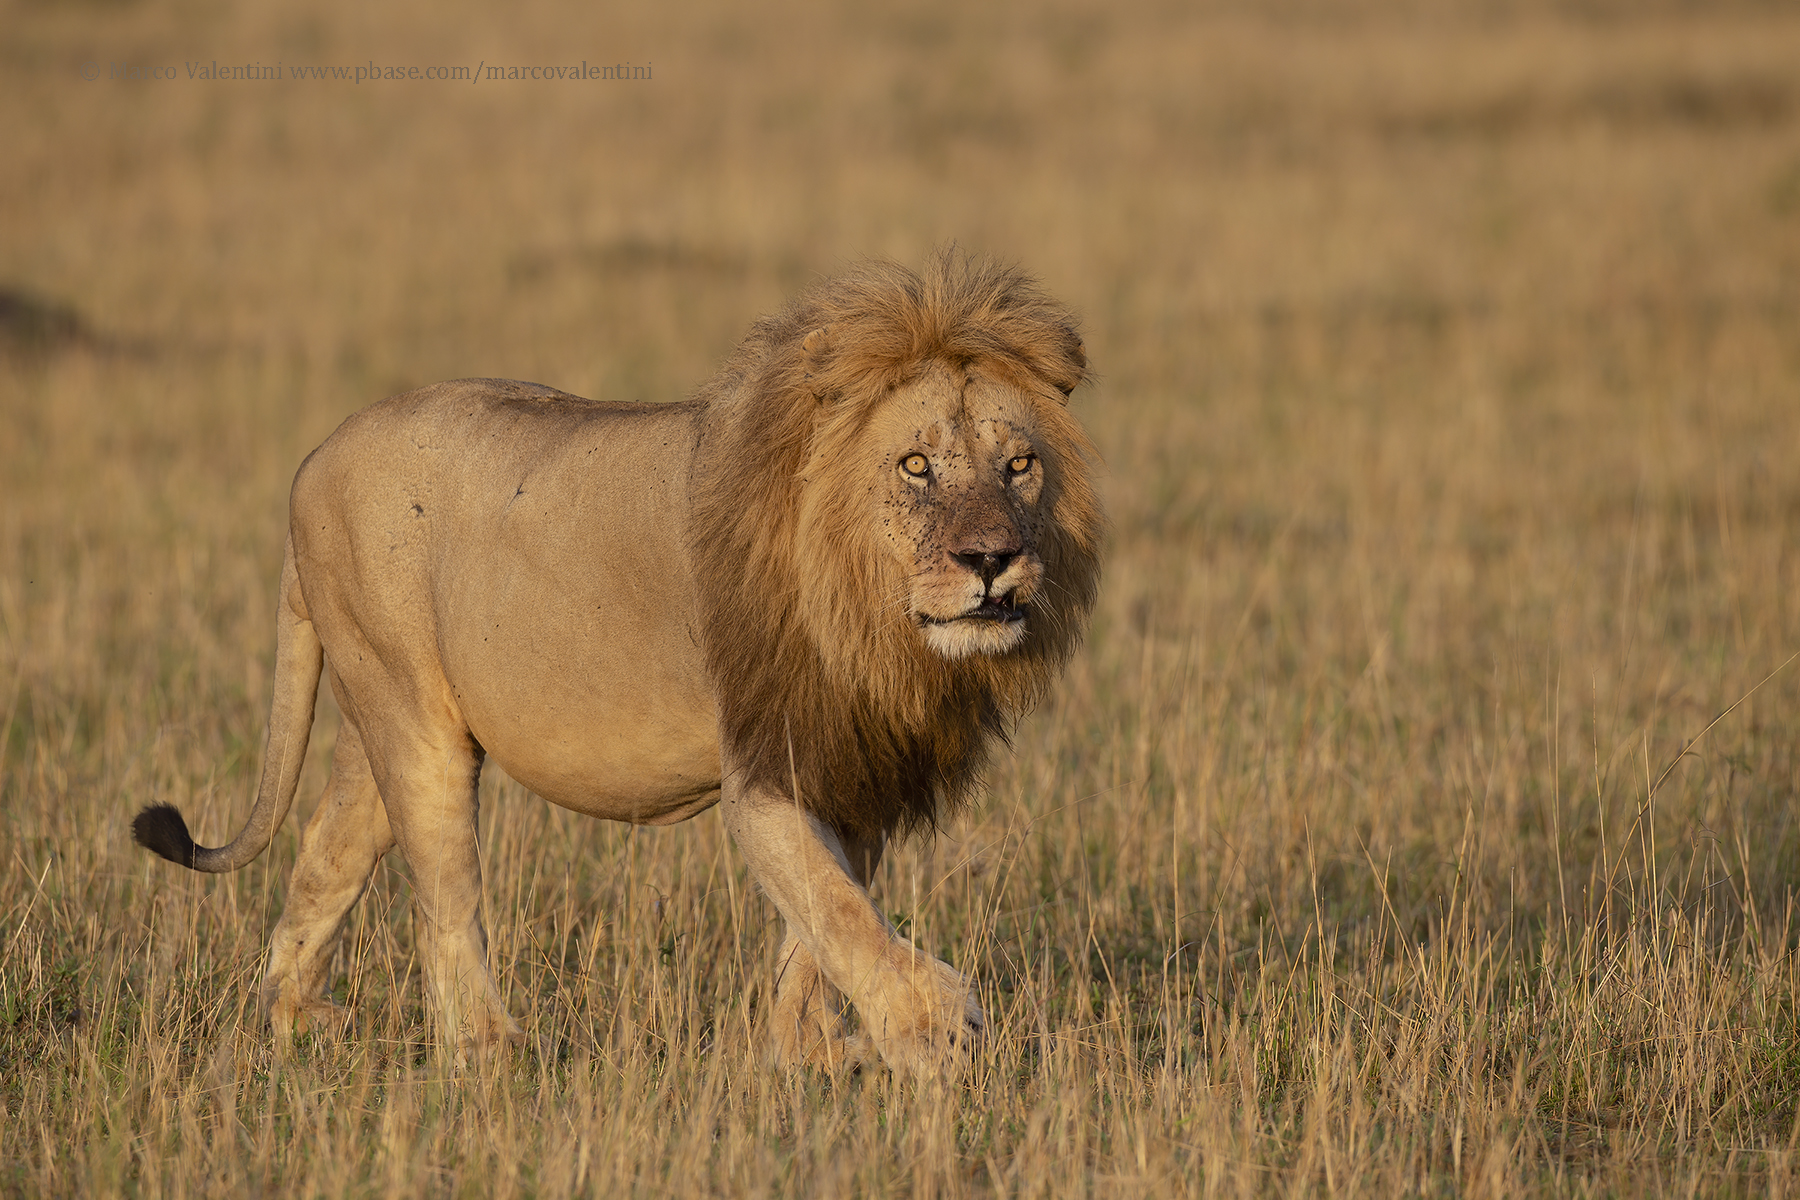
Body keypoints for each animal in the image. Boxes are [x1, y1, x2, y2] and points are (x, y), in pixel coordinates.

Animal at [130, 248, 1094, 1072]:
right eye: (916, 465)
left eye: (1019, 466)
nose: (991, 561)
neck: (877, 624)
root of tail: (312, 459)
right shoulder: (766, 764)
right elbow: (836, 908)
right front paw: (934, 1028)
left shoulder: (855, 767)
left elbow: (819, 931)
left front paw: (808, 1051)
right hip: (415, 724)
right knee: (446, 897)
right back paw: (490, 1052)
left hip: (373, 719)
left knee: (327, 852)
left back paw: (294, 1018)